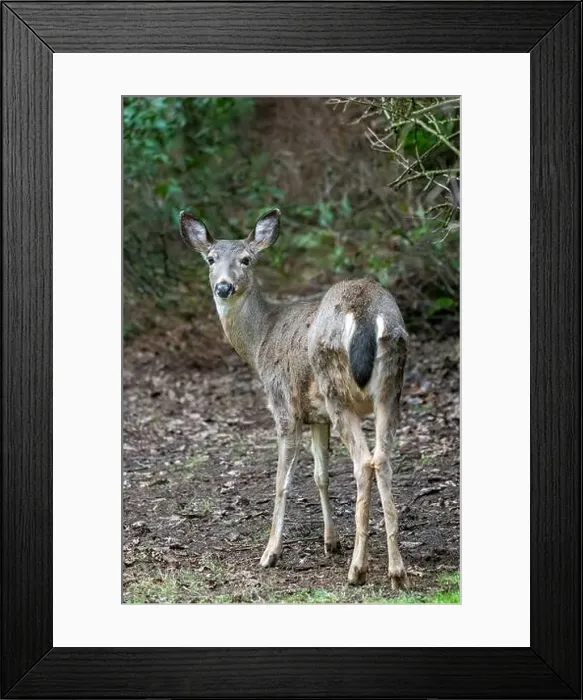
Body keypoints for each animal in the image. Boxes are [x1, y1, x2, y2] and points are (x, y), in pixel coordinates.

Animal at [179, 208, 409, 589]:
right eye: (210, 259)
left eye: (246, 259)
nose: (223, 287)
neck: (260, 340)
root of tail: (364, 312)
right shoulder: (317, 416)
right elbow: (320, 475)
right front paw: (331, 542)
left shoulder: (283, 403)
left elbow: (281, 481)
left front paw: (270, 553)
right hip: (391, 386)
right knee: (383, 460)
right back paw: (397, 572)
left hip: (336, 387)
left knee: (364, 463)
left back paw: (358, 570)